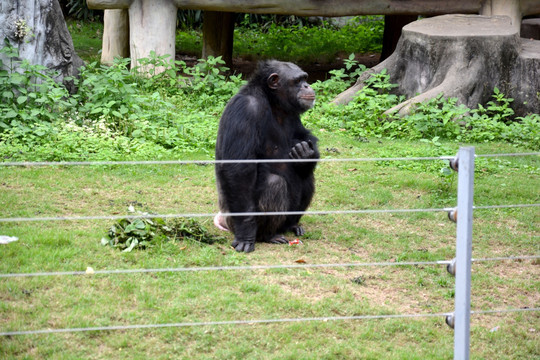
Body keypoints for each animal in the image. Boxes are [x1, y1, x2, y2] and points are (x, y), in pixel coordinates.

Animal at [214, 59, 318, 253]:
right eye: (298, 81)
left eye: (305, 78)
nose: (307, 85)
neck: (273, 102)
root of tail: (223, 219)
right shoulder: (245, 110)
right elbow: (239, 170)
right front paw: (246, 235)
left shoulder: (293, 114)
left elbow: (304, 135)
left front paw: (307, 153)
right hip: (233, 221)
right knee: (274, 184)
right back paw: (267, 236)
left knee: (307, 178)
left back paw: (292, 225)